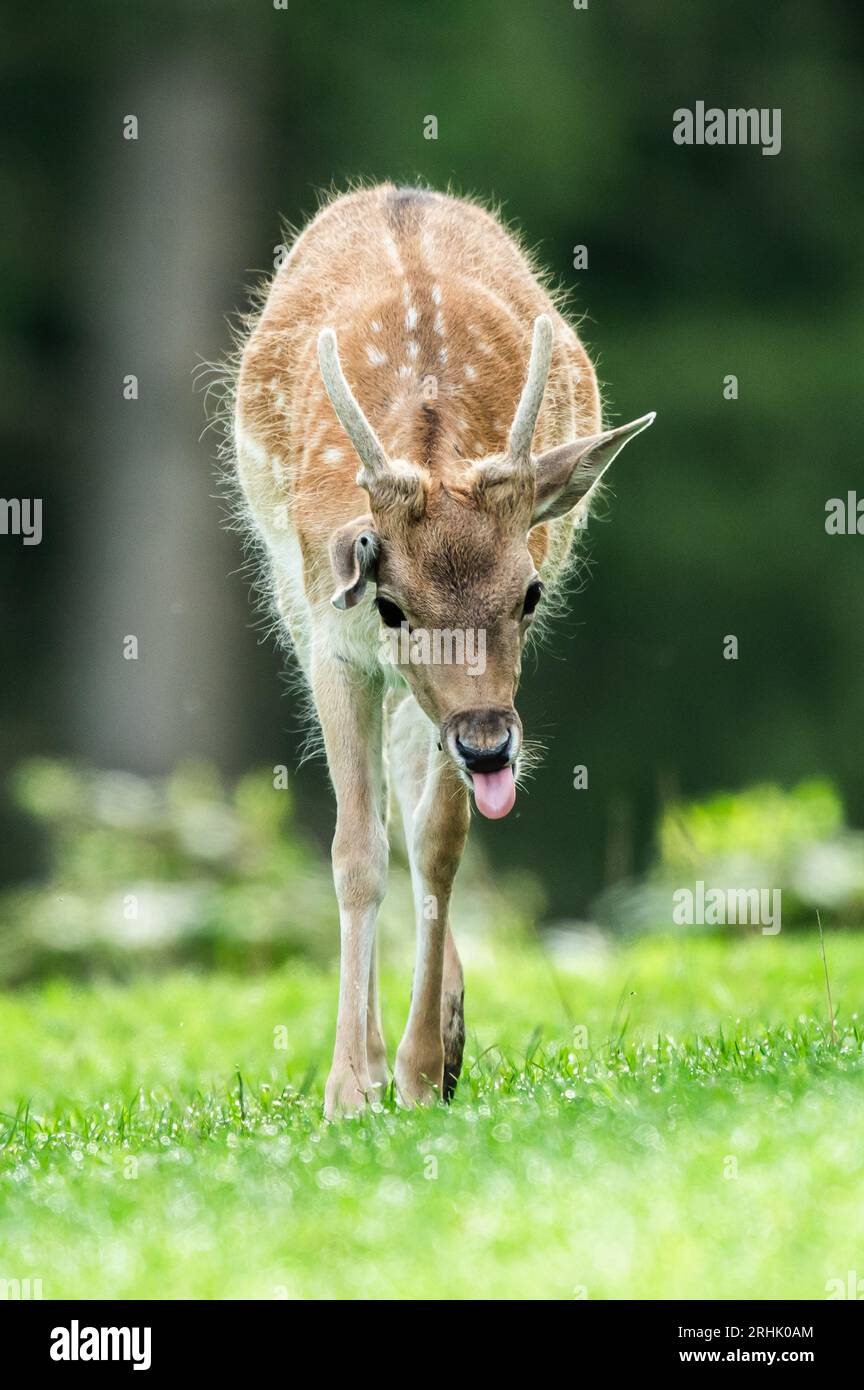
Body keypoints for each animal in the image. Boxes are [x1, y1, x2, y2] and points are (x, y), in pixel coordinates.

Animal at [233, 184, 652, 1117]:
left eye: (529, 594)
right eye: (390, 603)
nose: (489, 746)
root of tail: (396, 190)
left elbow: (440, 842)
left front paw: (425, 1069)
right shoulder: (334, 641)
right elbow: (355, 850)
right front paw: (349, 1086)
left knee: (414, 793)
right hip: (297, 604)